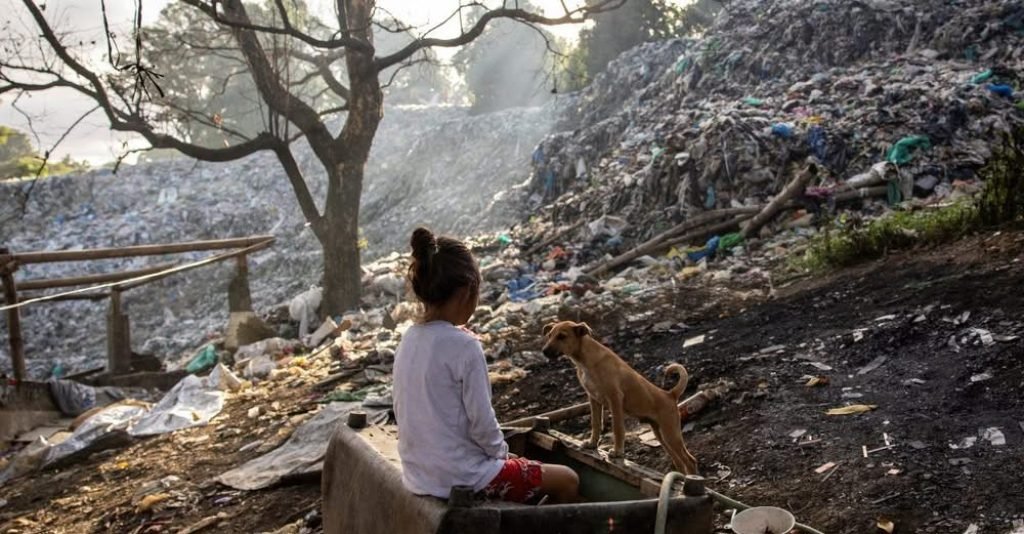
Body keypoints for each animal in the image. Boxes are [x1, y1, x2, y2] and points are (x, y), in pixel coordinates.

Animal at [540, 317, 700, 473]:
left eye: (562, 336)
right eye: (549, 335)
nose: (544, 351)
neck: (585, 361)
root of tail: (670, 394)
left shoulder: (615, 397)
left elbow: (617, 428)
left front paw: (617, 453)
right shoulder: (593, 398)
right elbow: (595, 423)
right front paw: (592, 444)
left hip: (670, 433)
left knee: (690, 461)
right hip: (661, 434)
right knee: (679, 462)